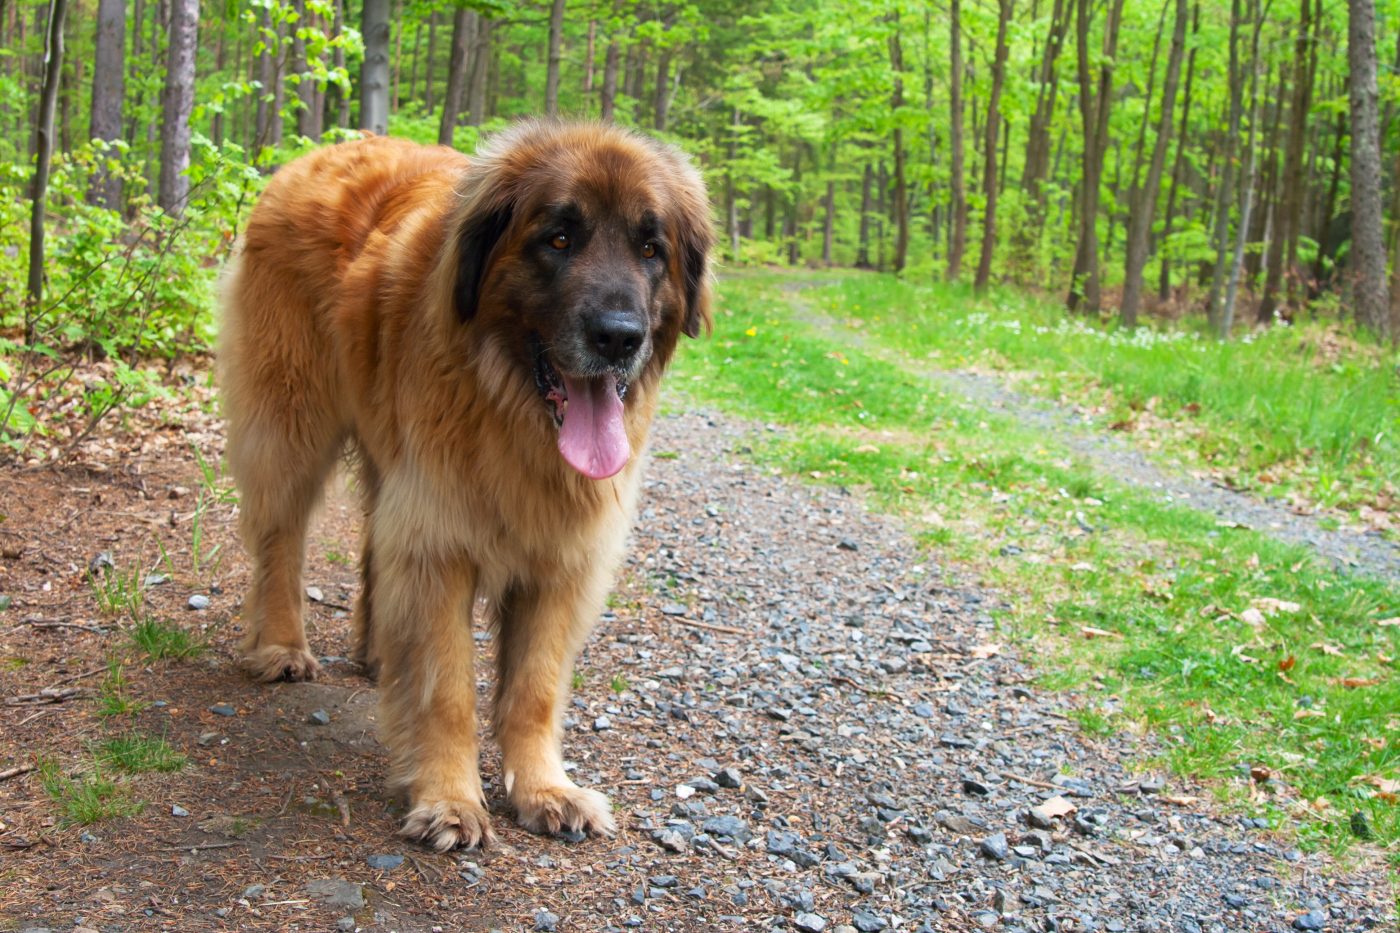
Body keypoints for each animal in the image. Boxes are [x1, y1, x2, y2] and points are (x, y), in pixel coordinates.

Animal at [222, 119, 716, 846]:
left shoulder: (561, 556)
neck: (510, 409)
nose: (619, 337)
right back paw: (282, 644)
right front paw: (449, 799)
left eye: (651, 248)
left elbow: (534, 688)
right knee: (280, 535)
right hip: (291, 418)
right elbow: (448, 689)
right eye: (558, 238)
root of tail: (328, 148)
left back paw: (376, 652)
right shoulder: (440, 539)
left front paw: (544, 788)